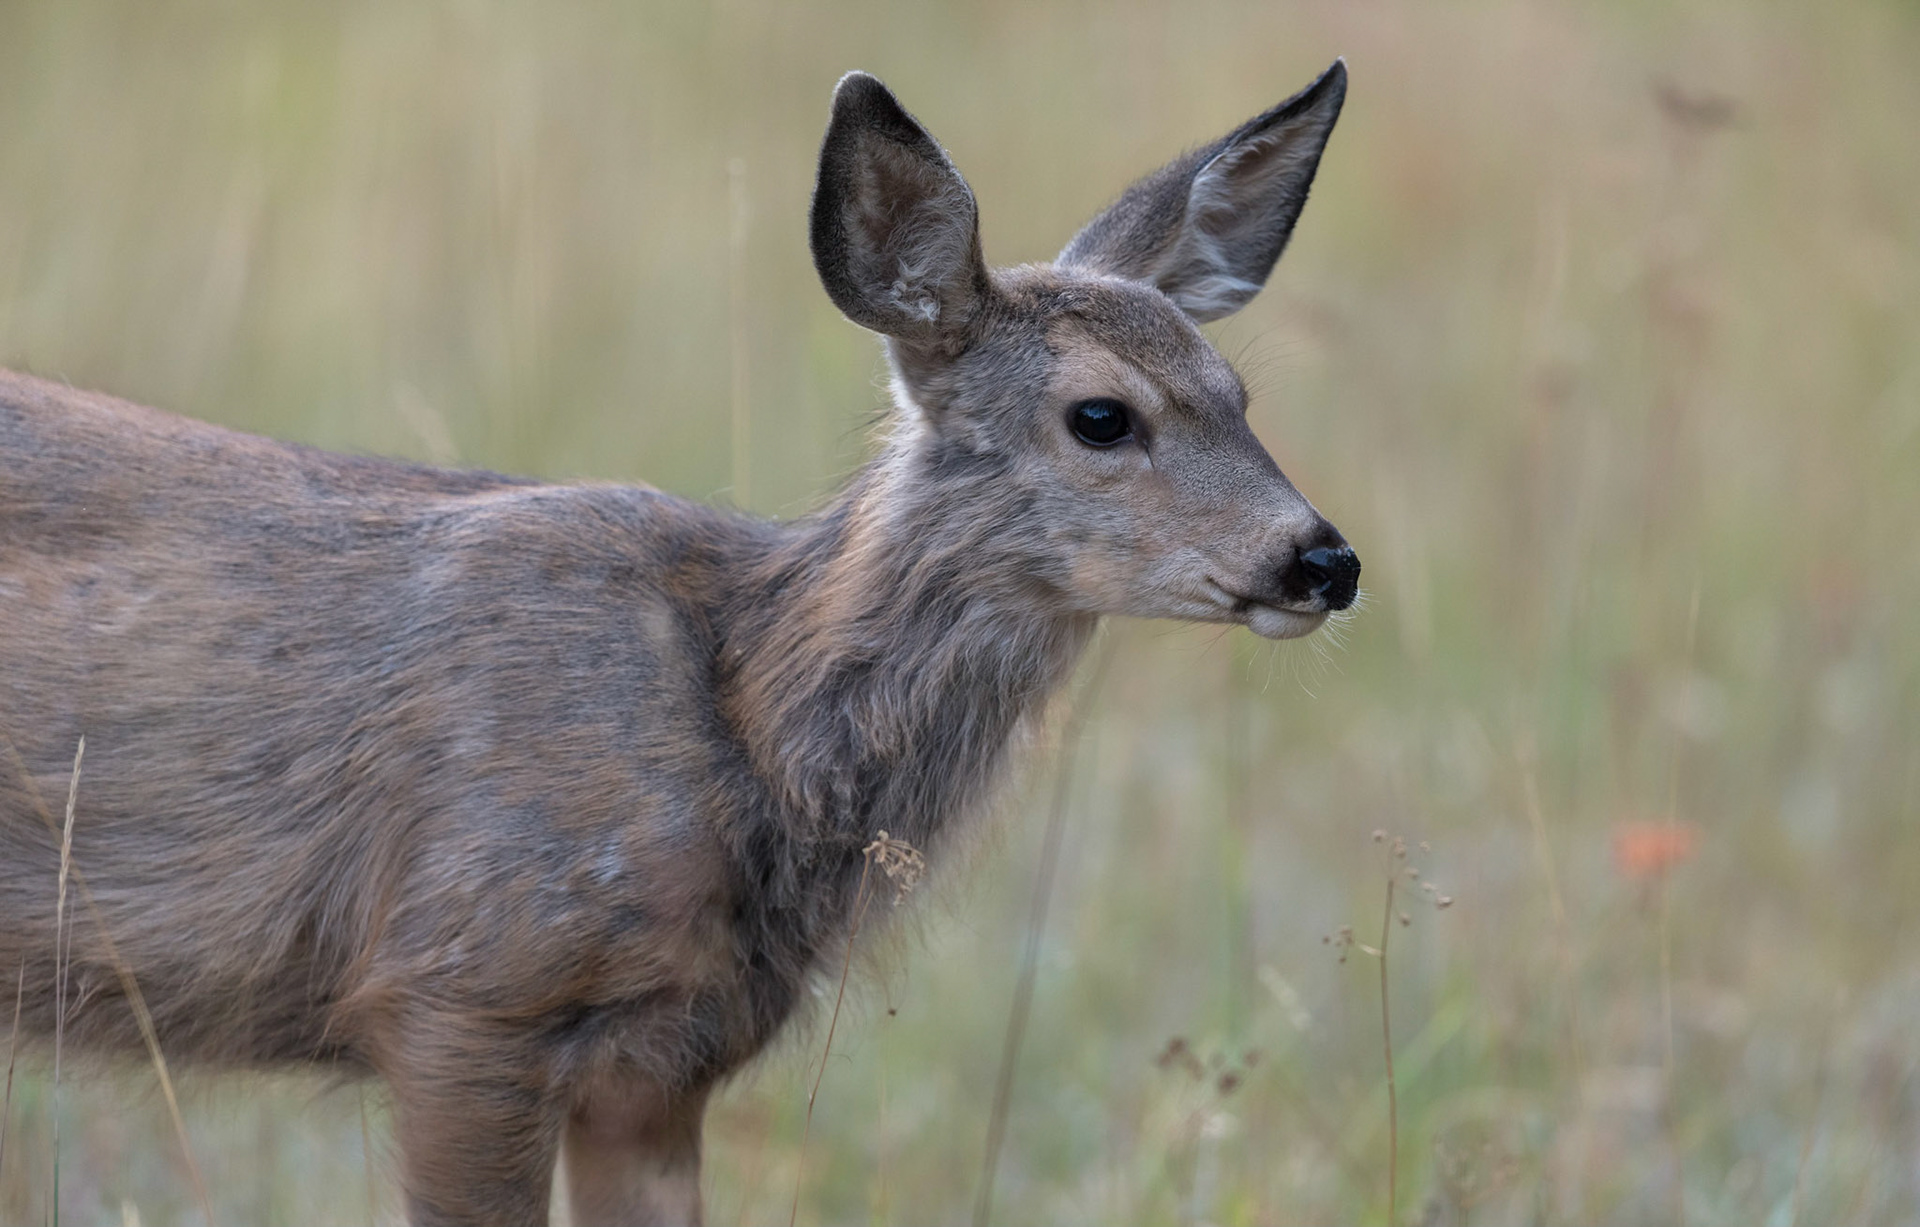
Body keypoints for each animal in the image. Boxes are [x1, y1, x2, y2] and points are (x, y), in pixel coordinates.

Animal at [0, 62, 1355, 1226]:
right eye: (1100, 416)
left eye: (1239, 396)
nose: (1323, 560)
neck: (741, 721)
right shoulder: (460, 992)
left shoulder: (664, 1062)